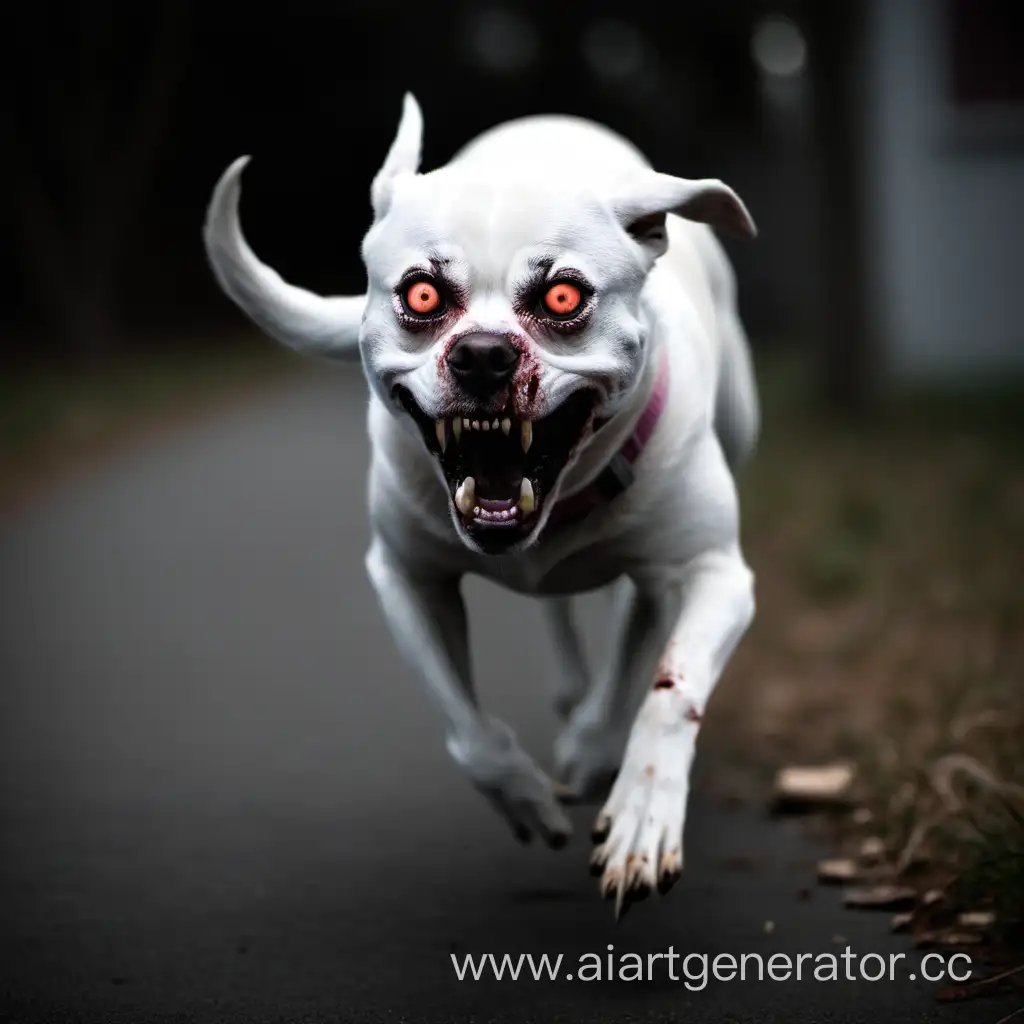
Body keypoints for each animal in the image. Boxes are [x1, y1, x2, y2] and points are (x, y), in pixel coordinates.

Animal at [201, 92, 761, 917]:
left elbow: (666, 692)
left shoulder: (716, 575)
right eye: (421, 294)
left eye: (563, 295)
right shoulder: (408, 579)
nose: (485, 355)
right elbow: (468, 734)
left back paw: (594, 738)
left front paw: (638, 815)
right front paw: (526, 797)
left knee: (637, 619)